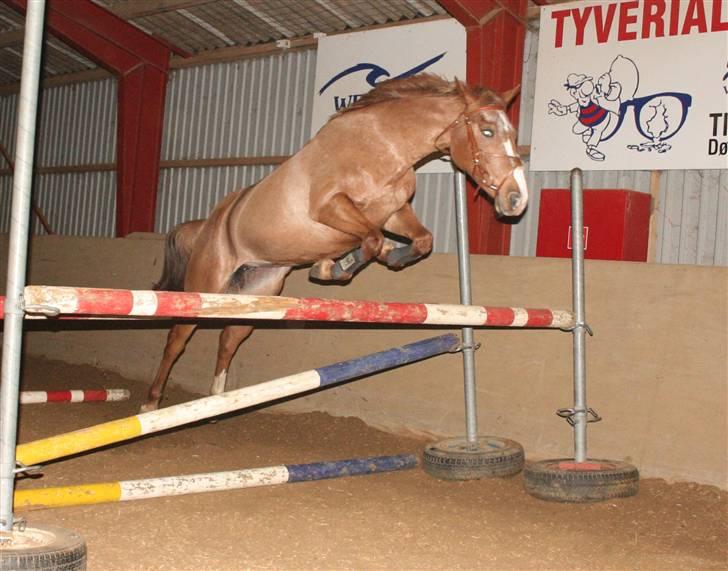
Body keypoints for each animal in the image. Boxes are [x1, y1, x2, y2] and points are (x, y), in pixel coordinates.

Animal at [142, 73, 528, 412]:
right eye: (487, 131)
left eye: (512, 133)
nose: (517, 199)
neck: (383, 146)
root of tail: (209, 222)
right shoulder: (331, 206)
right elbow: (369, 239)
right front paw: (335, 266)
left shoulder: (393, 212)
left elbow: (420, 240)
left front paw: (383, 256)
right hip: (206, 284)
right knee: (177, 338)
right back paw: (151, 403)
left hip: (257, 291)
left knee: (228, 339)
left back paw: (218, 400)